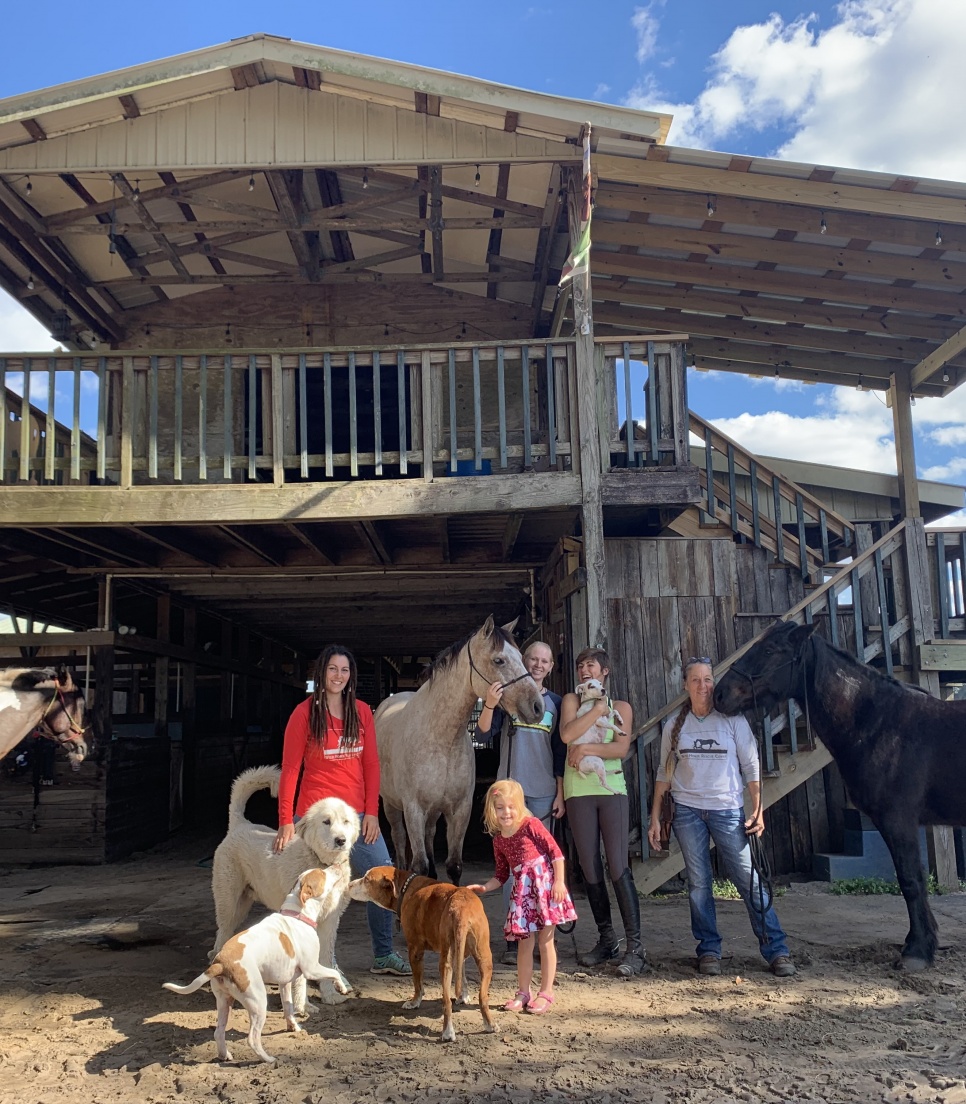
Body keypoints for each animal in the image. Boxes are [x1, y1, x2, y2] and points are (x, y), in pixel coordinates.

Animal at [164, 865, 348, 1064]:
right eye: (322, 873)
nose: (336, 866)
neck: (297, 915)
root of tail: (220, 964)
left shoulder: (285, 983)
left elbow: (288, 1007)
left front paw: (293, 1026)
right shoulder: (312, 969)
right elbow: (333, 973)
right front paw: (342, 988)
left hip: (224, 1002)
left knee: (218, 1032)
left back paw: (224, 1055)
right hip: (258, 1003)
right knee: (252, 1038)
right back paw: (268, 1059)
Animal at [211, 768, 362, 1011]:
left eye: (346, 821)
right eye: (326, 822)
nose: (341, 840)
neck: (321, 864)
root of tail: (240, 824)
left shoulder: (330, 922)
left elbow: (325, 960)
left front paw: (330, 995)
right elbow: (301, 974)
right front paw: (303, 1006)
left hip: (242, 906)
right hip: (228, 904)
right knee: (221, 936)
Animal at [348, 865, 499, 1037]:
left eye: (366, 880)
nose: (349, 885)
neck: (404, 887)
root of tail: (462, 908)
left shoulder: (415, 950)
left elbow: (417, 982)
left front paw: (415, 1001)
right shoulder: (460, 953)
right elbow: (462, 974)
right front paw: (463, 996)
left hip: (445, 963)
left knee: (446, 1001)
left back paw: (447, 1032)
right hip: (485, 959)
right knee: (482, 996)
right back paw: (490, 1024)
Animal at [375, 618, 543, 883]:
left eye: (520, 656)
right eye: (499, 660)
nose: (537, 707)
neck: (442, 738)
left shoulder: (460, 809)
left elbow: (454, 865)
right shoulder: (413, 809)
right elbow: (419, 865)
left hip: (433, 811)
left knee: (429, 834)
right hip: (392, 805)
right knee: (399, 841)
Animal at [710, 627, 966, 971]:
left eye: (770, 651)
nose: (719, 694)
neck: (882, 725)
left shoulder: (899, 820)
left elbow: (911, 881)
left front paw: (917, 951)